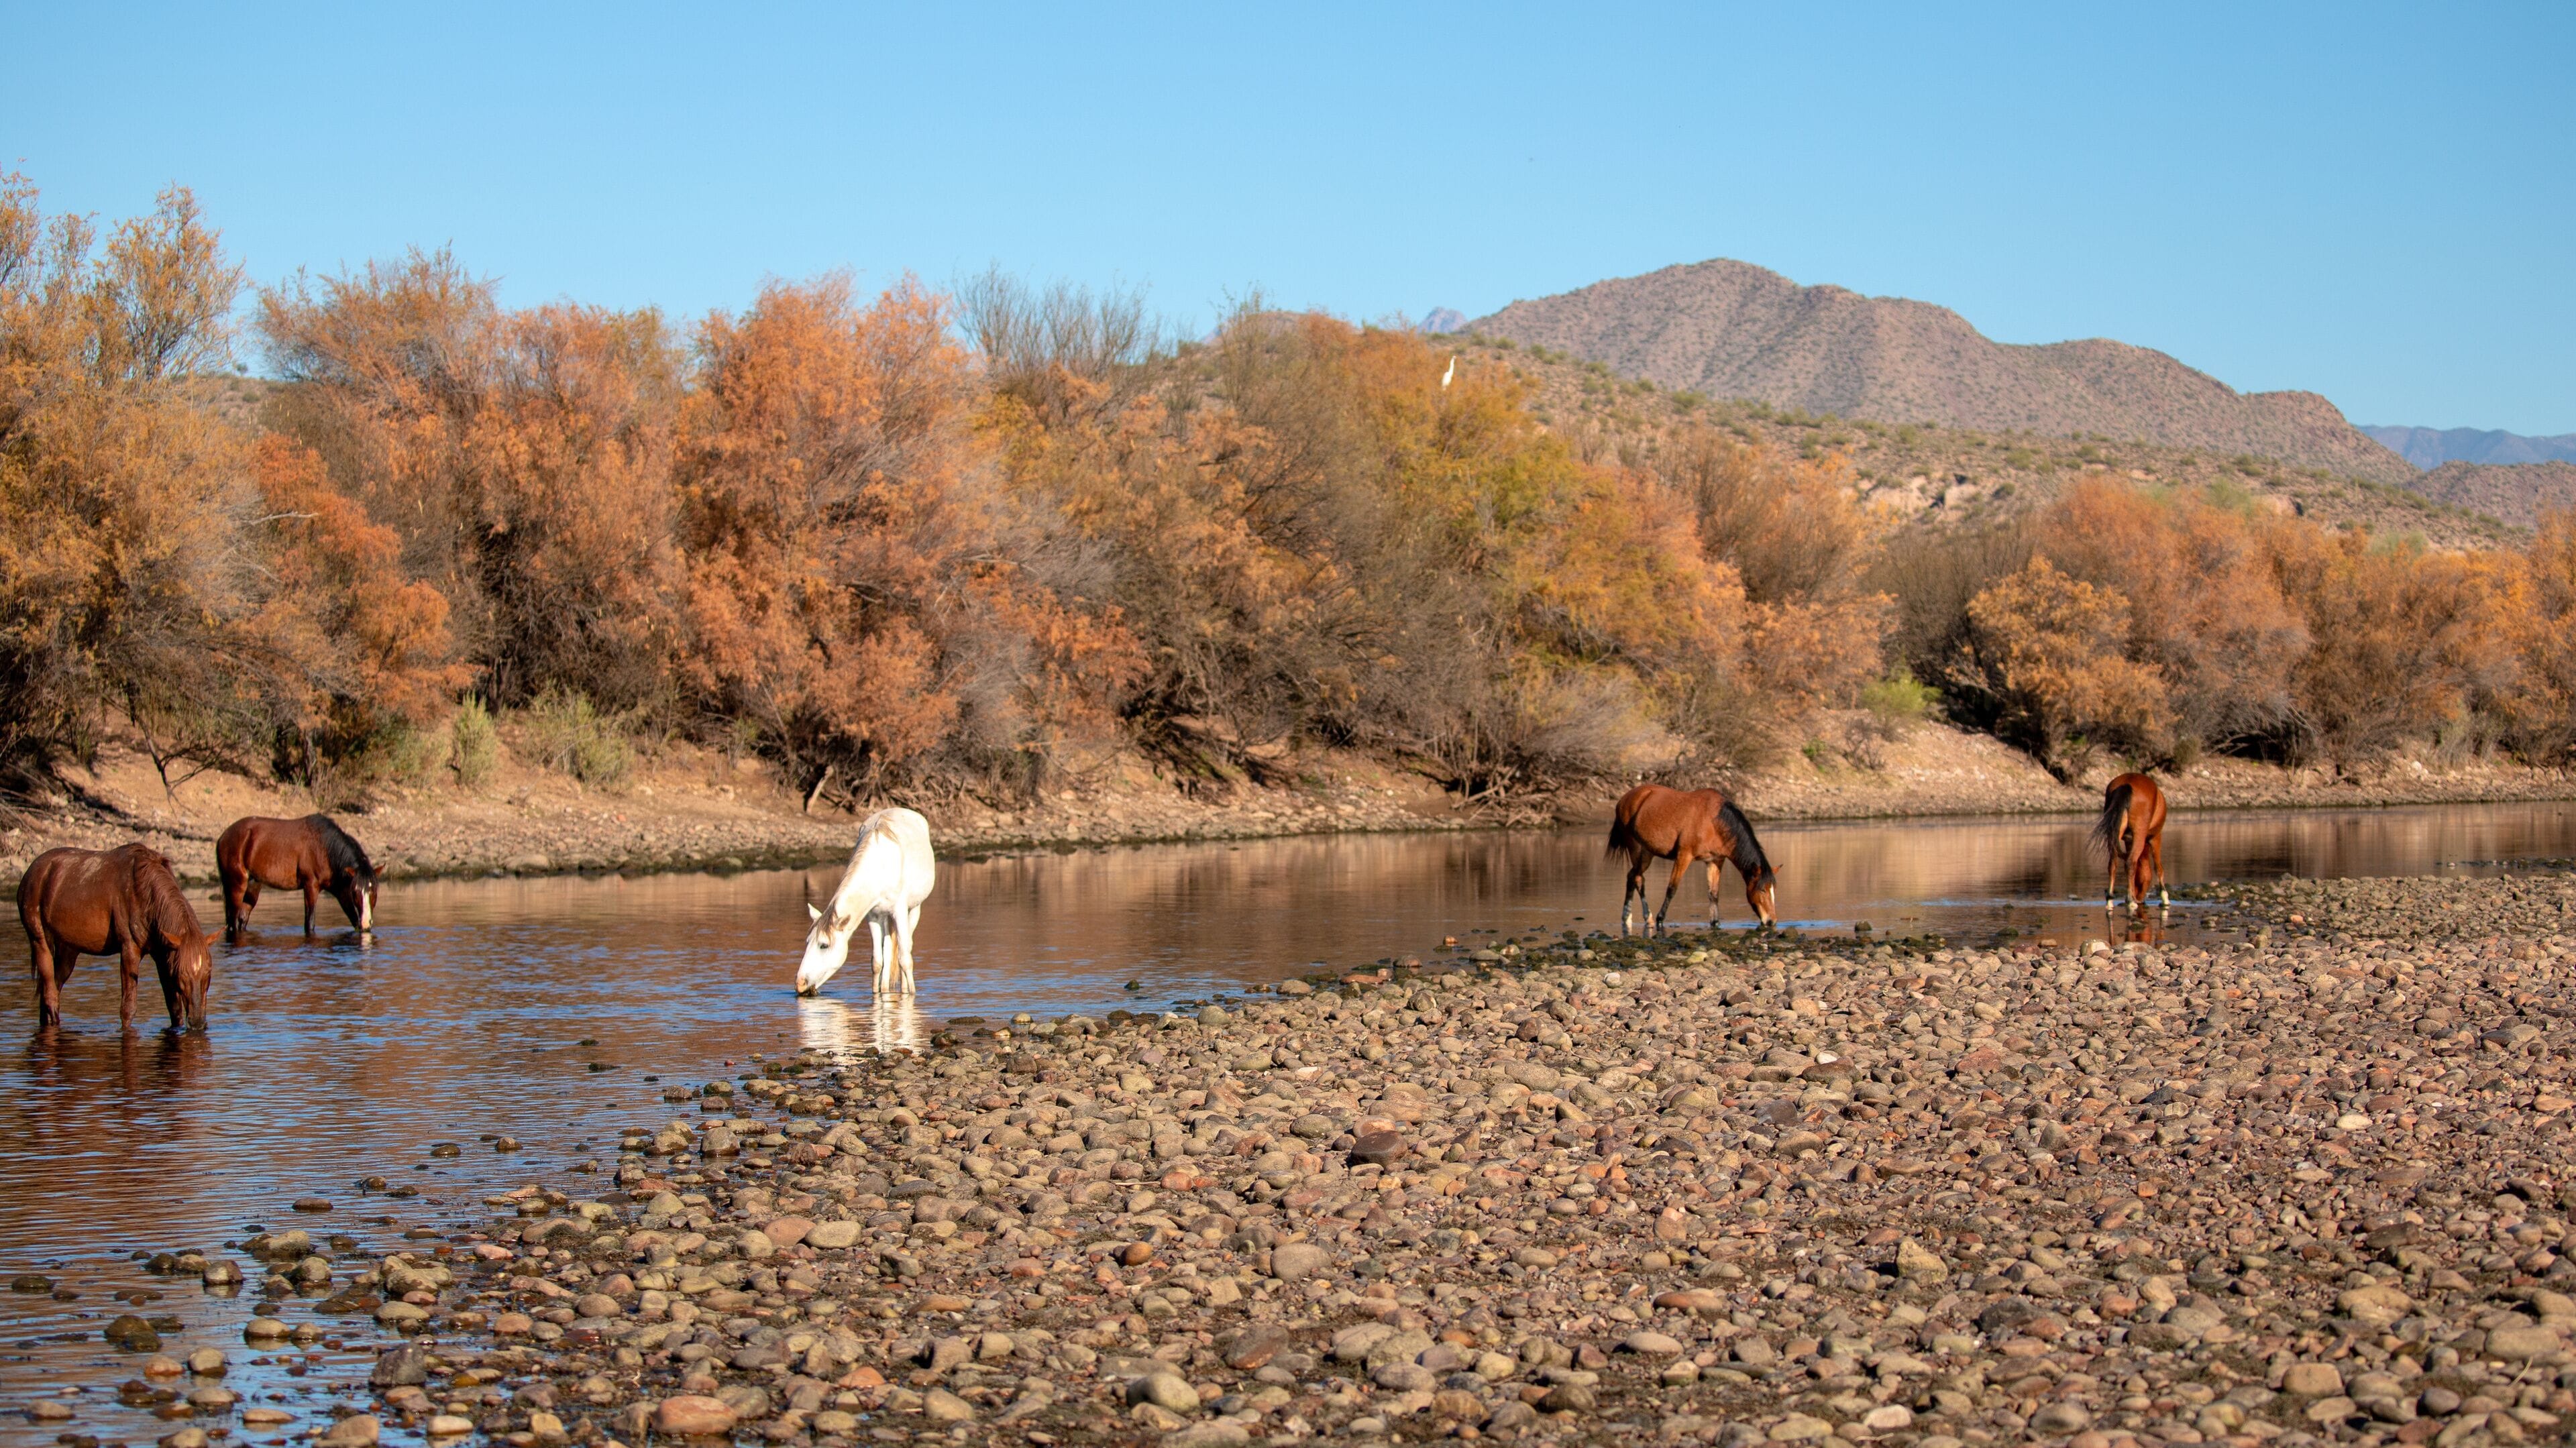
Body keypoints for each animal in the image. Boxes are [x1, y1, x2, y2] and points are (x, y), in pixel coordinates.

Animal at [16, 843, 213, 1031]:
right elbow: (128, 1009)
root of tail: (31, 872)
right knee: (51, 997)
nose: (197, 1022)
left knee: (49, 993)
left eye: (208, 974)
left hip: (67, 950)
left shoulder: (163, 954)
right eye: (182, 976)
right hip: (39, 938)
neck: (146, 894)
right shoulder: (129, 950)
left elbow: (174, 1009)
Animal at [214, 814, 378, 937]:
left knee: (241, 919)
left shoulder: (342, 892)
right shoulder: (311, 886)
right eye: (356, 892)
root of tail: (223, 837)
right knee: (233, 921)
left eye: (374, 892)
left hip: (253, 886)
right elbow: (309, 924)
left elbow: (353, 919)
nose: (366, 923)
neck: (325, 848)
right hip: (237, 885)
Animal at [798, 808, 936, 997]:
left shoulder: (900, 912)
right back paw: (885, 989)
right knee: (888, 948)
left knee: (906, 945)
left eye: (824, 945)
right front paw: (877, 995)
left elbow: (905, 958)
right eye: (807, 942)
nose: (800, 984)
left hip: (914, 909)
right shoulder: (873, 916)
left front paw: (911, 994)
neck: (880, 867)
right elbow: (877, 962)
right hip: (885, 918)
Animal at [1605, 784, 1778, 936]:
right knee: (1637, 879)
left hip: (1648, 852)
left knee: (1632, 877)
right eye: (1762, 890)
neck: (1714, 822)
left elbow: (1714, 894)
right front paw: (1661, 919)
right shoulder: (1684, 856)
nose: (1772, 921)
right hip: (1637, 849)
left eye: (1773, 889)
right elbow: (1672, 889)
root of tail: (1624, 799)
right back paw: (1648, 918)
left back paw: (1628, 918)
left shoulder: (1715, 861)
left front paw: (1715, 923)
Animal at [2091, 771, 2170, 911]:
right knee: (2130, 862)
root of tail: (2126, 784)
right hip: (2140, 834)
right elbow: (2158, 868)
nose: (2140, 898)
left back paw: (2110, 899)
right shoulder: (2155, 837)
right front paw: (2165, 898)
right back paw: (2130, 900)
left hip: (2115, 834)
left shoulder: (2128, 841)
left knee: (2113, 864)